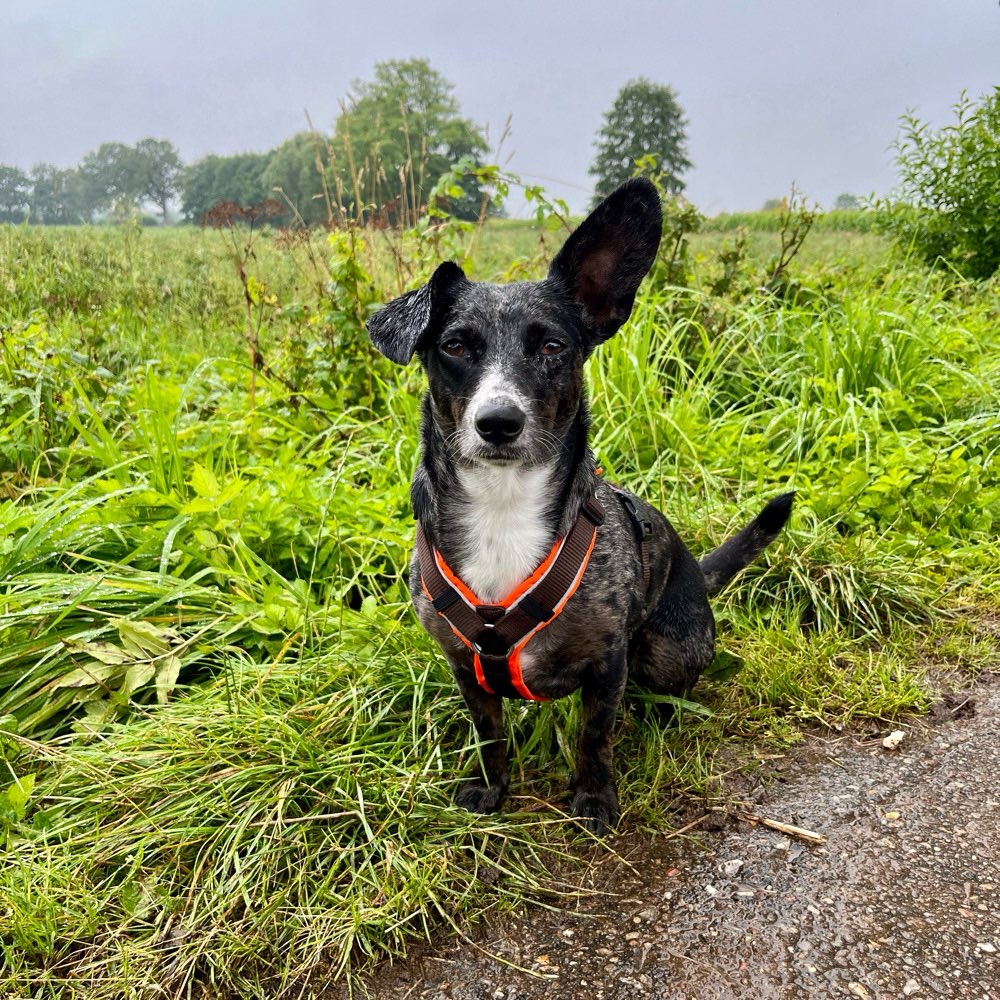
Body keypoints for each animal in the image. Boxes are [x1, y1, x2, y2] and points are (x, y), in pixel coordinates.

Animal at [364, 180, 792, 836]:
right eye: (455, 345)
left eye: (552, 345)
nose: (499, 422)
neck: (503, 507)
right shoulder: (464, 665)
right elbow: (489, 733)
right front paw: (491, 788)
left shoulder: (607, 662)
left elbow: (595, 736)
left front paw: (593, 797)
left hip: (667, 652)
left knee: (666, 691)